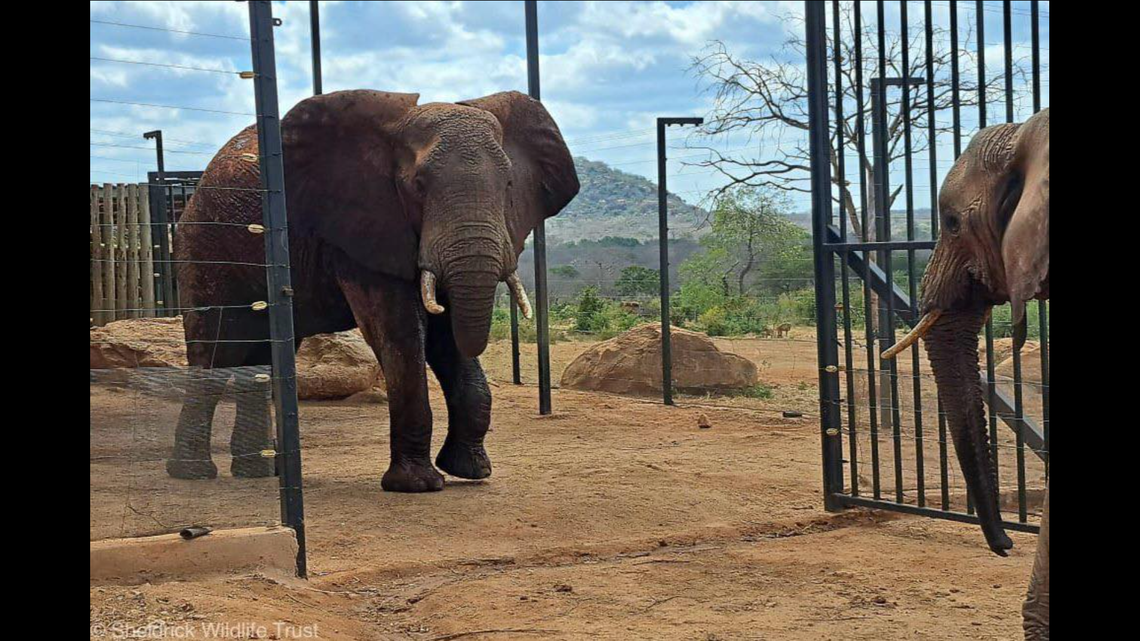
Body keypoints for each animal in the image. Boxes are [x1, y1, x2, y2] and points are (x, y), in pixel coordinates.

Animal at [166, 89, 579, 492]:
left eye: (509, 185)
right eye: (418, 186)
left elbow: (446, 336)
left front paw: (470, 471)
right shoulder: (361, 226)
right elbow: (401, 331)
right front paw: (417, 485)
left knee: (261, 359)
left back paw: (258, 473)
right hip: (204, 245)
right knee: (218, 350)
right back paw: (192, 472)